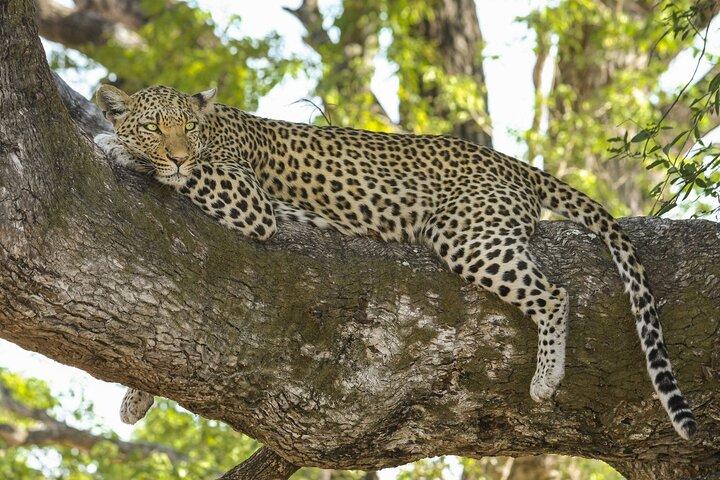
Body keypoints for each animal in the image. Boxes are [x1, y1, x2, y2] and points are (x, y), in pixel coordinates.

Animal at [93, 84, 696, 440]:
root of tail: (510, 162)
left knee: (554, 294)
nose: (176, 152)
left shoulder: (249, 200)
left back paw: (547, 378)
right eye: (155, 126)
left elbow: (191, 174)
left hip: (466, 233)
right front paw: (136, 397)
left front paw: (115, 146)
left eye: (187, 128)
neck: (215, 127)